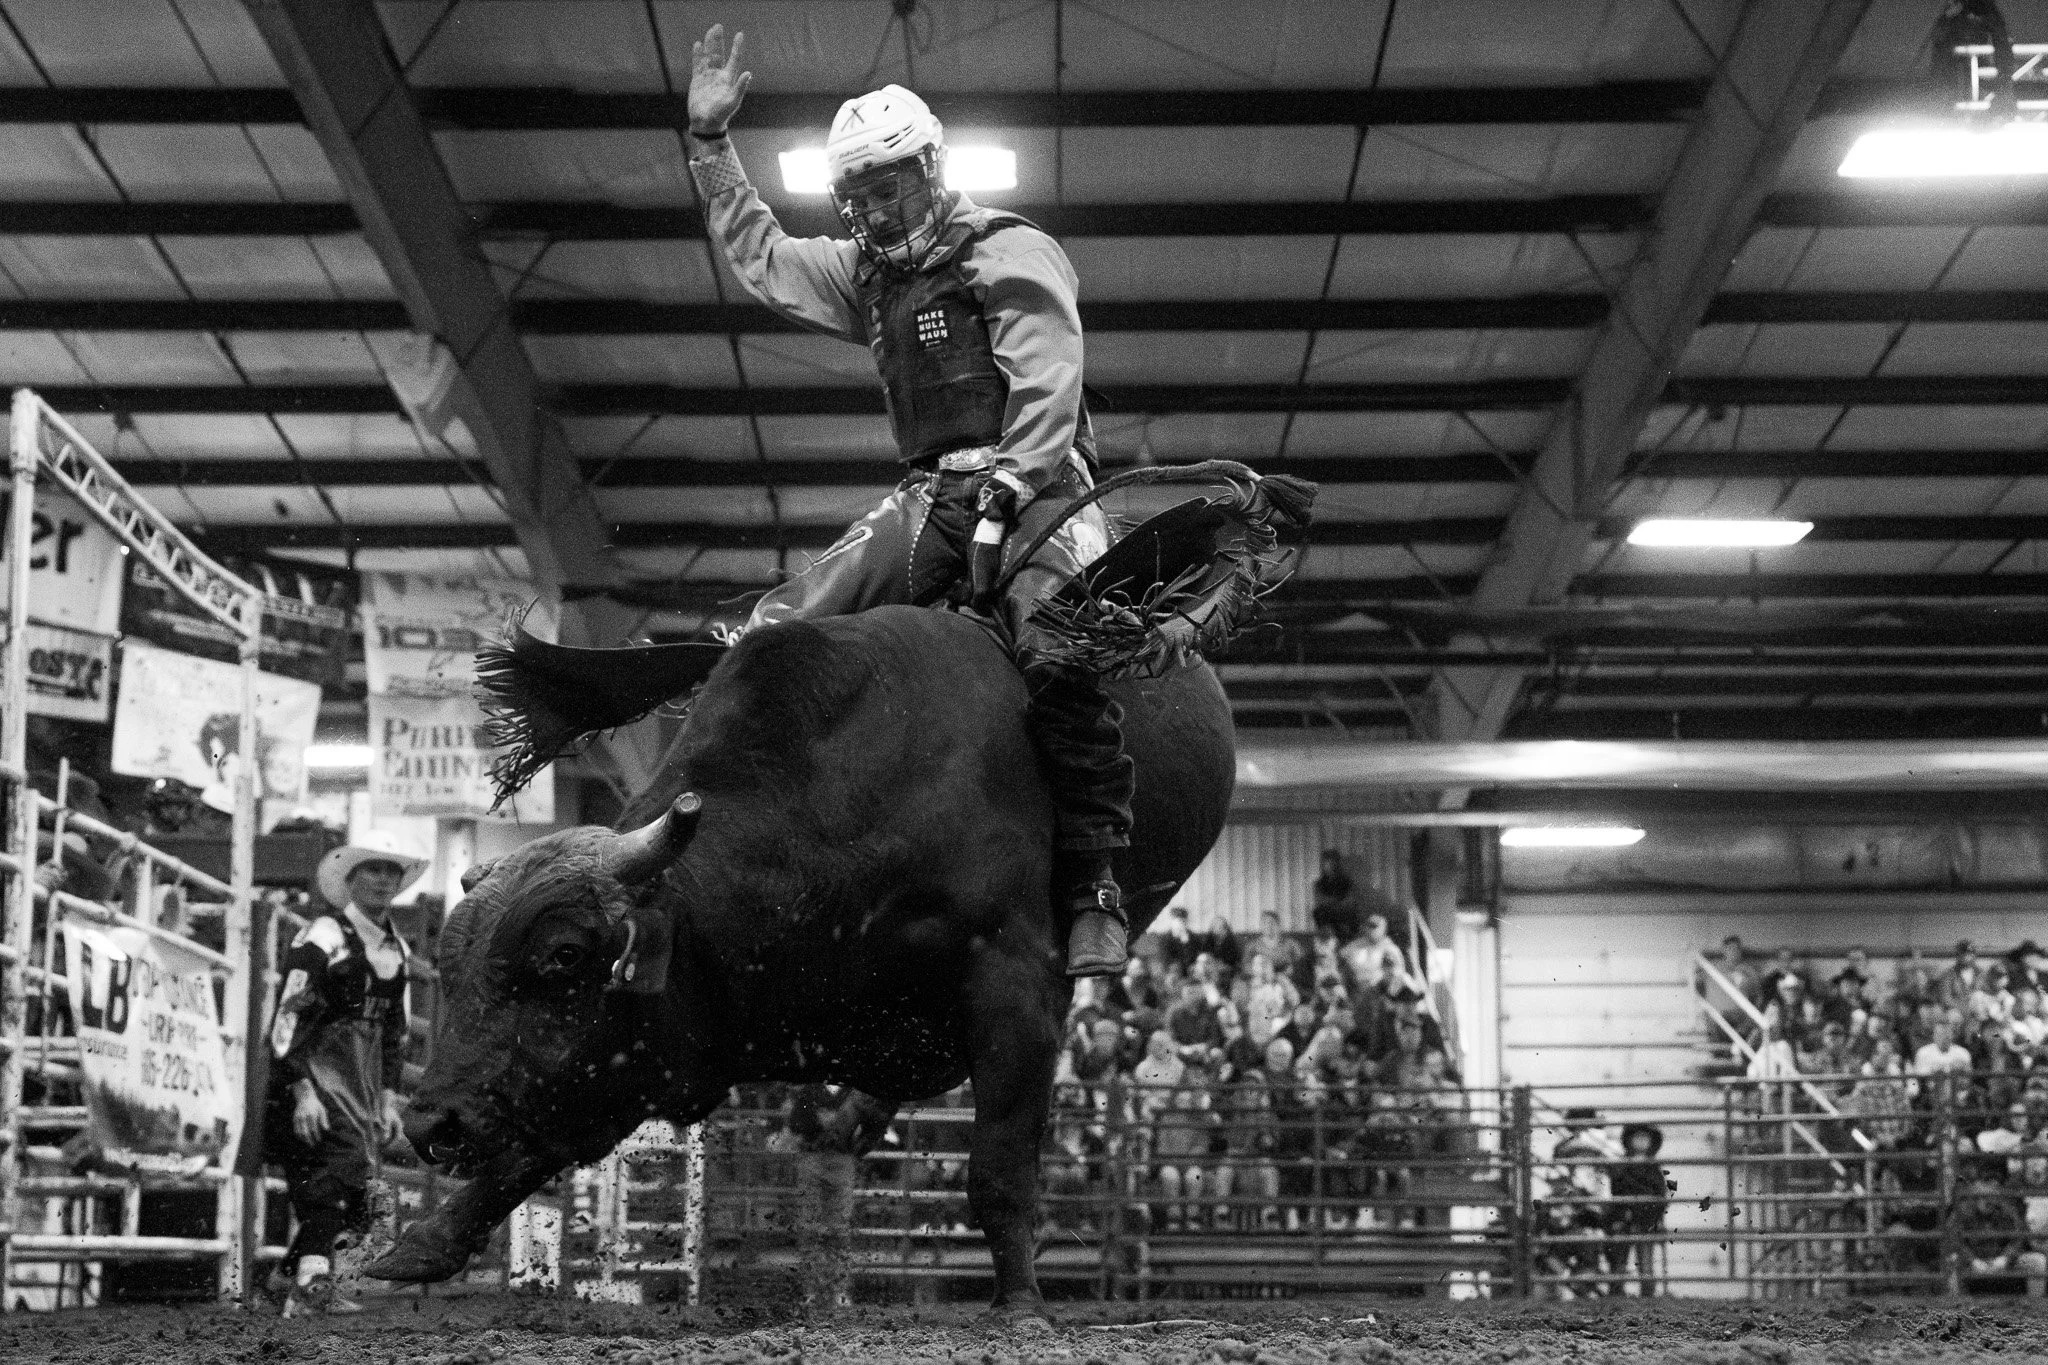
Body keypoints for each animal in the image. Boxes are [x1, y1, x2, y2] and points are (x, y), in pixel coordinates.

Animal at [368, 604, 1236, 1313]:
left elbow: (998, 1160)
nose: (430, 1121)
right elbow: (539, 1137)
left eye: (564, 954)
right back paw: (835, 1121)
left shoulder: (1016, 985)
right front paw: (424, 1244)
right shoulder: (636, 1052)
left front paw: (1021, 1301)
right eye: (450, 966)